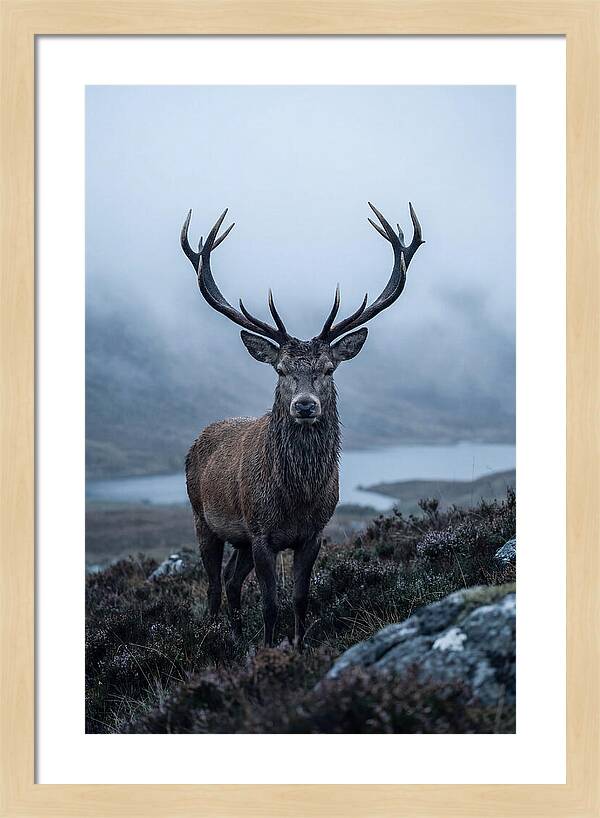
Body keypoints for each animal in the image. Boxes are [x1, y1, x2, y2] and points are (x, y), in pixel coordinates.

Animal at [181, 203, 424, 648]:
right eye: (280, 370)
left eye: (328, 368)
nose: (305, 405)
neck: (296, 497)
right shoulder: (261, 533)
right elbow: (270, 603)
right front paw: (268, 648)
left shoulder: (312, 533)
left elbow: (299, 598)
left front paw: (297, 645)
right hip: (202, 517)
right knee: (213, 584)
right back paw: (215, 636)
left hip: (238, 538)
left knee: (231, 581)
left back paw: (237, 637)